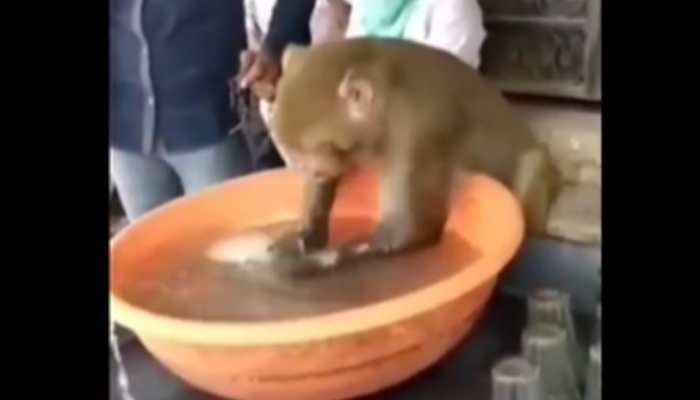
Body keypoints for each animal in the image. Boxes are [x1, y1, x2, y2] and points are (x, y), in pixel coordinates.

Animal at [264, 37, 556, 274]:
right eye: (292, 150)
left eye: (317, 149)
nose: (306, 169)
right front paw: (305, 235)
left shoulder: (417, 132)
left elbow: (410, 230)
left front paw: (307, 262)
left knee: (532, 163)